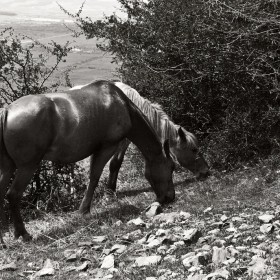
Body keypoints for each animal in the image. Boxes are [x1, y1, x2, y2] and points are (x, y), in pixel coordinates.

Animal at [0, 80, 175, 245]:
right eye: (171, 168)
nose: (170, 197)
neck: (122, 104)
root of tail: (7, 111)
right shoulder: (107, 147)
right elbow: (95, 177)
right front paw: (84, 210)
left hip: (7, 167)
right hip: (27, 166)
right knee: (13, 194)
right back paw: (23, 233)